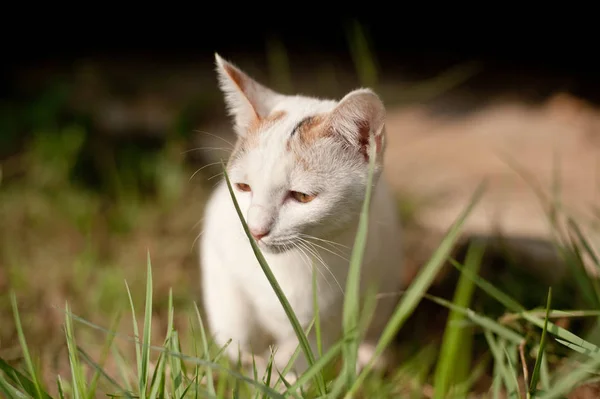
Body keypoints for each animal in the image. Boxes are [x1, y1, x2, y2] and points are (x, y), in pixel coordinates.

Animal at [200, 54, 404, 384]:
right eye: (243, 187)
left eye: (302, 196)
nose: (255, 230)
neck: (294, 265)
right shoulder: (219, 253)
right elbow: (237, 335)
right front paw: (258, 369)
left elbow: (308, 350)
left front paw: (289, 377)